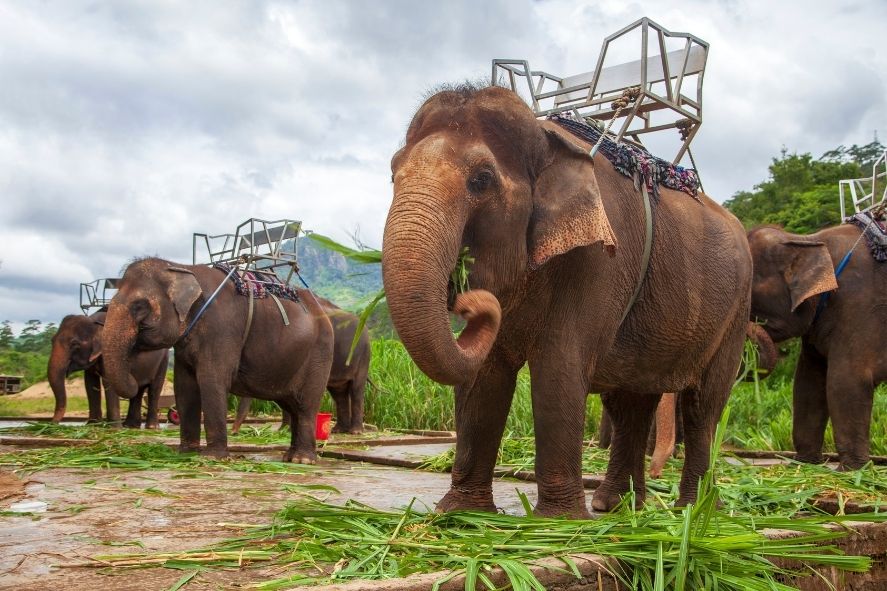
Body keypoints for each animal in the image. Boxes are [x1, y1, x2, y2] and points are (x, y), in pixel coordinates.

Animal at [101, 258, 334, 463]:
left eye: (139, 306)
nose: (135, 377)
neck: (182, 268)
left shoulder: (221, 329)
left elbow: (211, 381)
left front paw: (213, 458)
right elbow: (184, 387)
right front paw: (186, 453)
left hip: (319, 353)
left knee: (306, 405)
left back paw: (302, 460)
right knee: (292, 405)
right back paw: (290, 457)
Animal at [232, 296, 371, 435]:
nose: (234, 432)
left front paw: (286, 430)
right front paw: (284, 430)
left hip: (363, 356)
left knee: (356, 389)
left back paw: (355, 432)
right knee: (339, 393)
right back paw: (338, 430)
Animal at [381, 84, 752, 516]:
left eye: (482, 180)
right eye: (393, 174)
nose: (468, 300)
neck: (547, 141)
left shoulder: (600, 260)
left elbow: (558, 366)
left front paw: (558, 521)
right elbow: (484, 375)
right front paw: (462, 512)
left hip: (735, 314)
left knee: (701, 407)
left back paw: (693, 511)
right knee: (630, 402)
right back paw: (618, 507)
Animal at [748, 224, 887, 468]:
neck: (809, 240)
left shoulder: (859, 306)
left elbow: (846, 381)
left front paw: (853, 470)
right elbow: (808, 383)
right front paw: (805, 463)